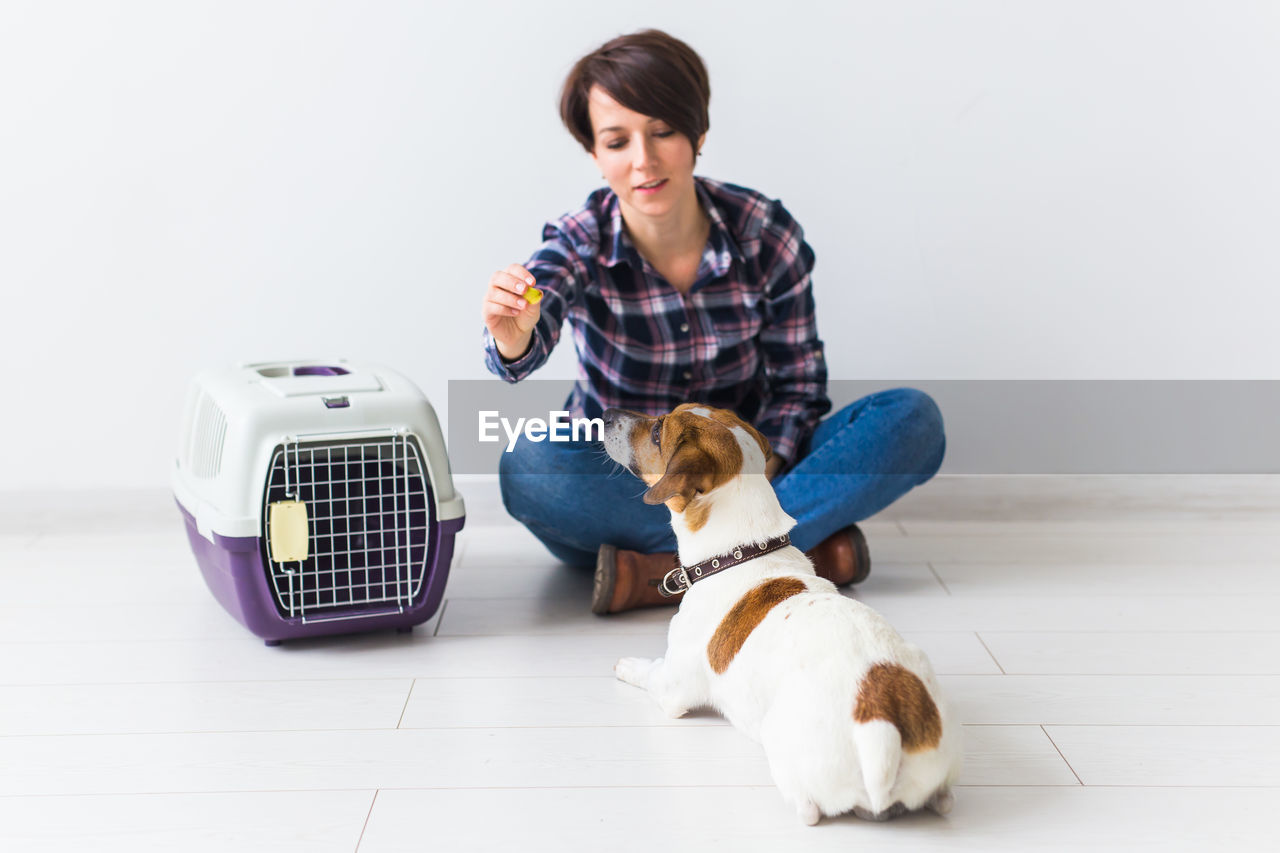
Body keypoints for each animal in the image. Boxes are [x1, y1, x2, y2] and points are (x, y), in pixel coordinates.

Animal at [601, 404, 962, 824]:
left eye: (658, 431)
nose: (606, 413)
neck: (739, 553)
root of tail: (881, 724)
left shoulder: (672, 687)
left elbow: (650, 673)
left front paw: (630, 665)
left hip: (782, 741)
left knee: (807, 809)